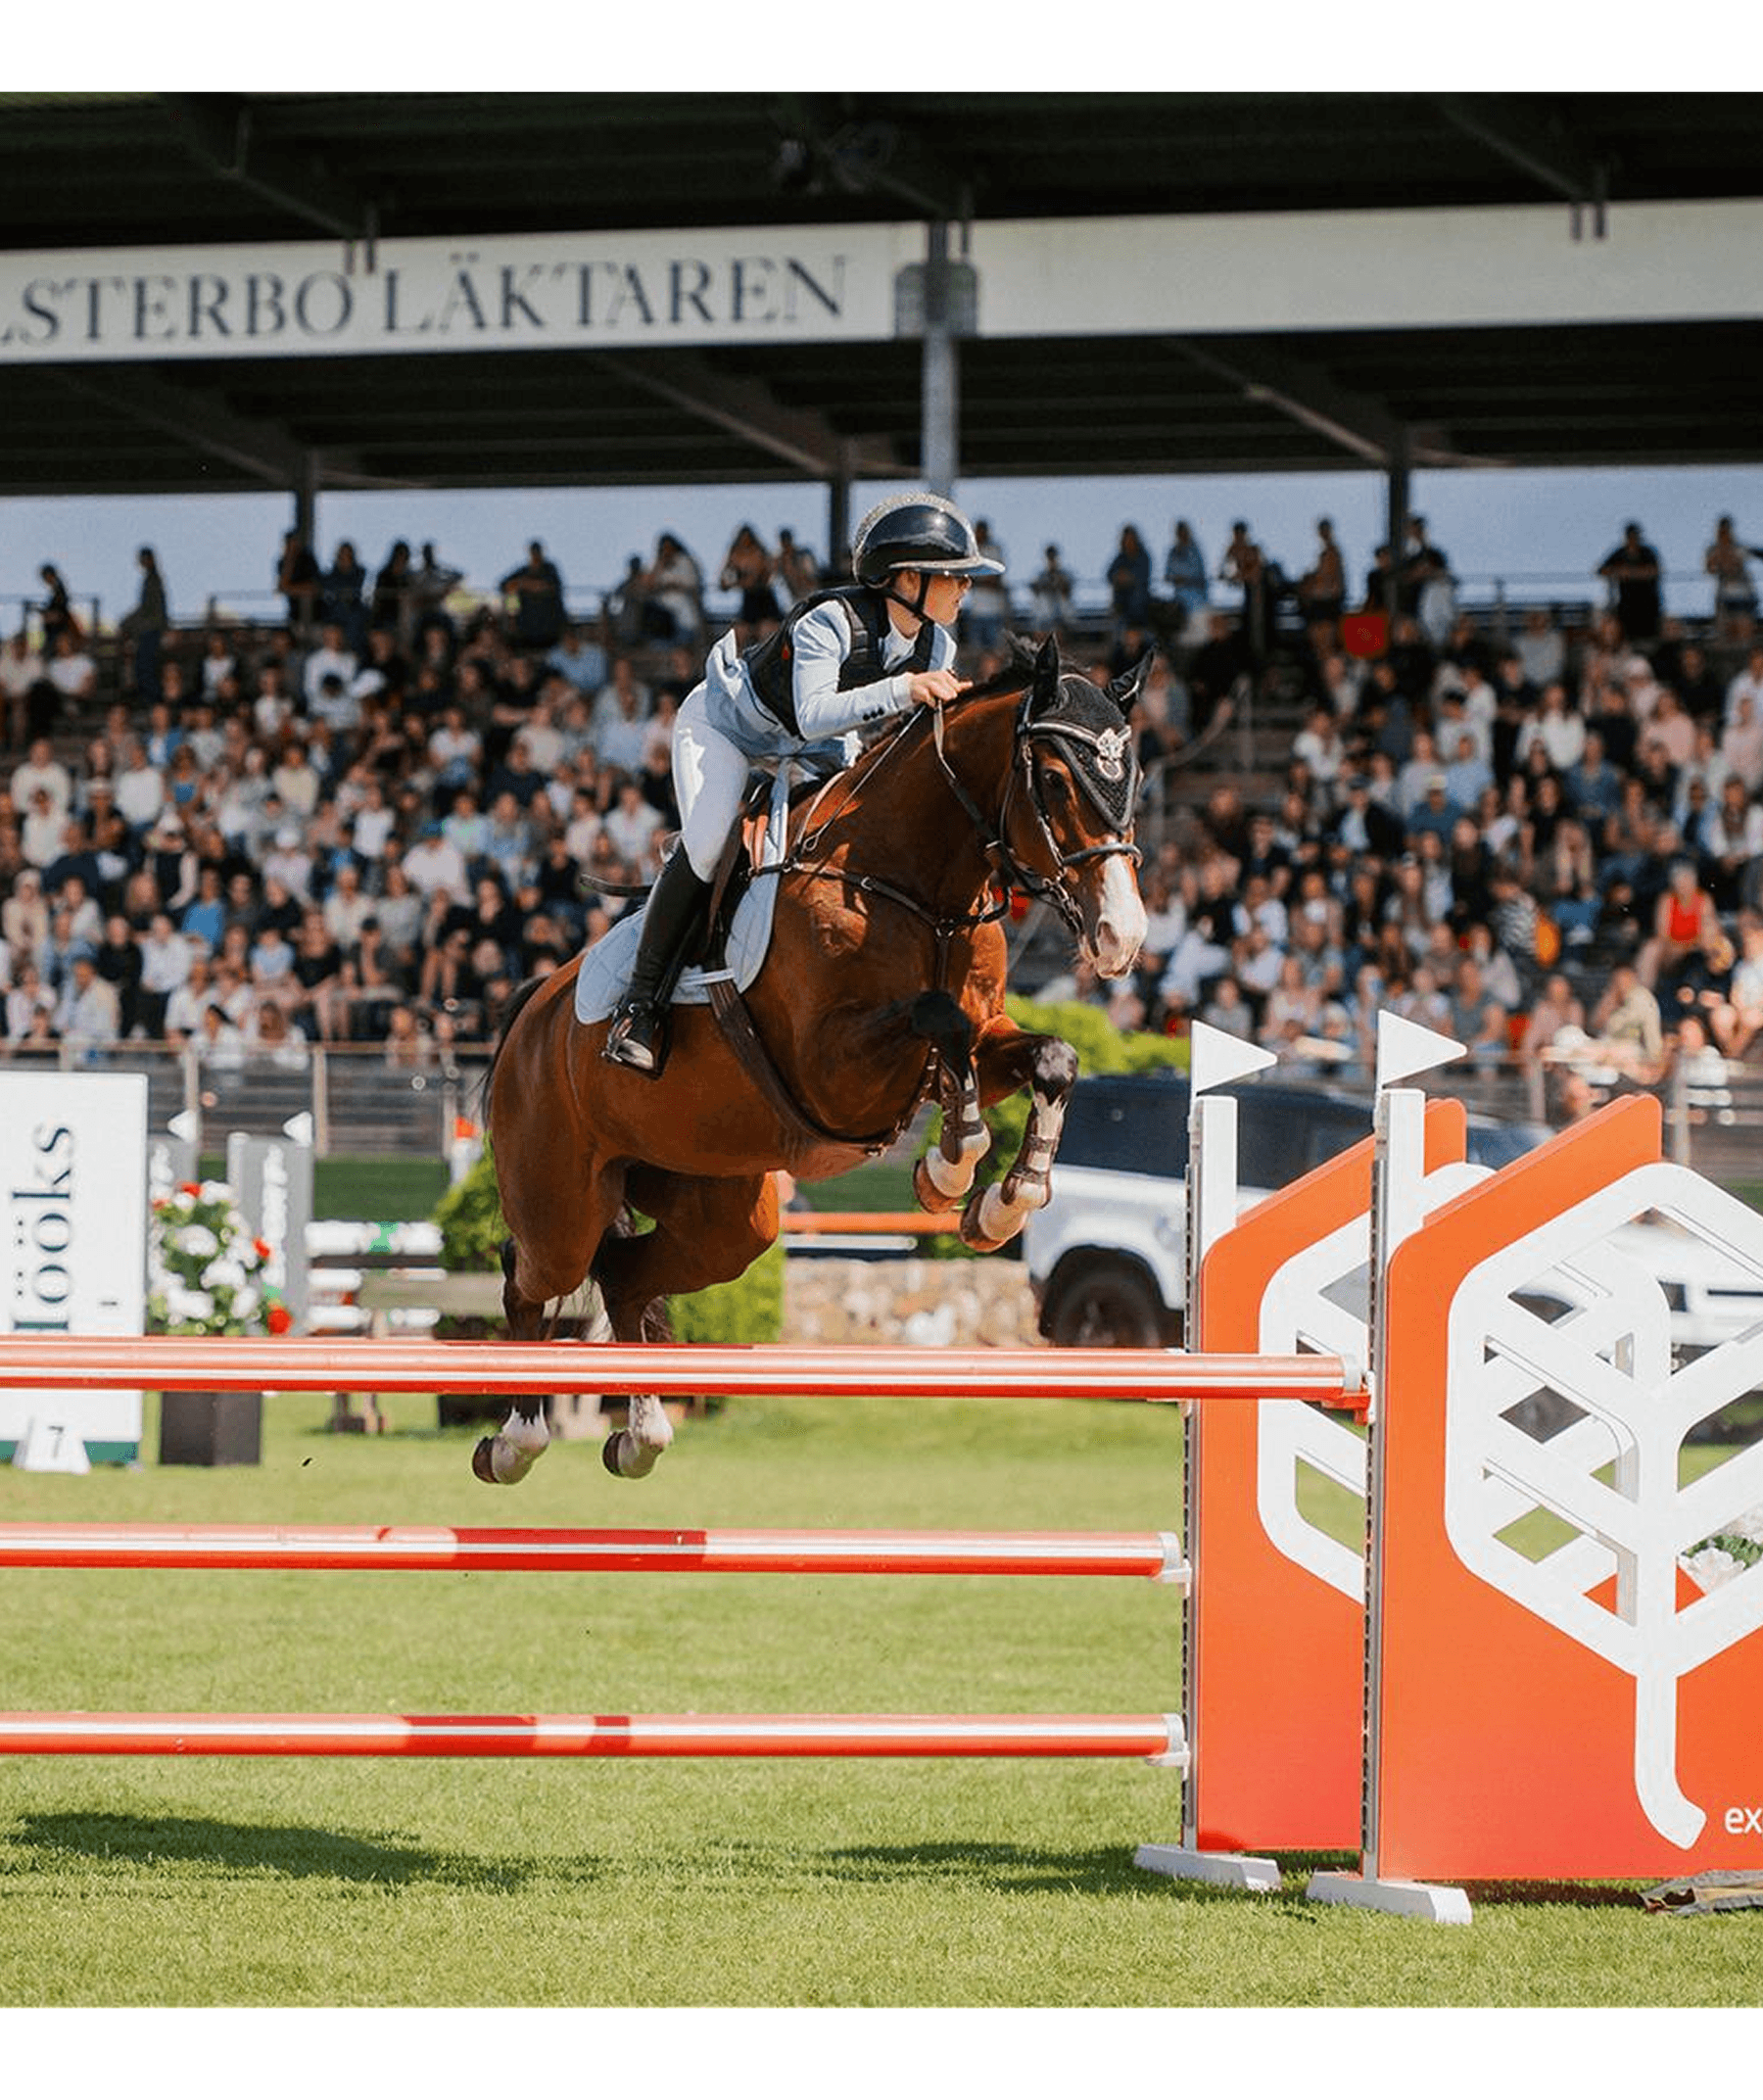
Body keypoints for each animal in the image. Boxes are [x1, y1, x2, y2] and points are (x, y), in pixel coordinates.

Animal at [477, 633, 1151, 1486]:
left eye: (1134, 776)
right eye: (1057, 779)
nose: (1122, 936)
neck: (915, 883)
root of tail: (531, 1014)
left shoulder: (984, 1031)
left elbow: (1049, 1056)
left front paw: (1004, 1200)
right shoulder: (834, 1070)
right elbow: (938, 1022)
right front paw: (952, 1165)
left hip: (727, 1213)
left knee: (626, 1276)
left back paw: (642, 1433)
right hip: (561, 1200)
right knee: (530, 1275)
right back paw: (515, 1439)